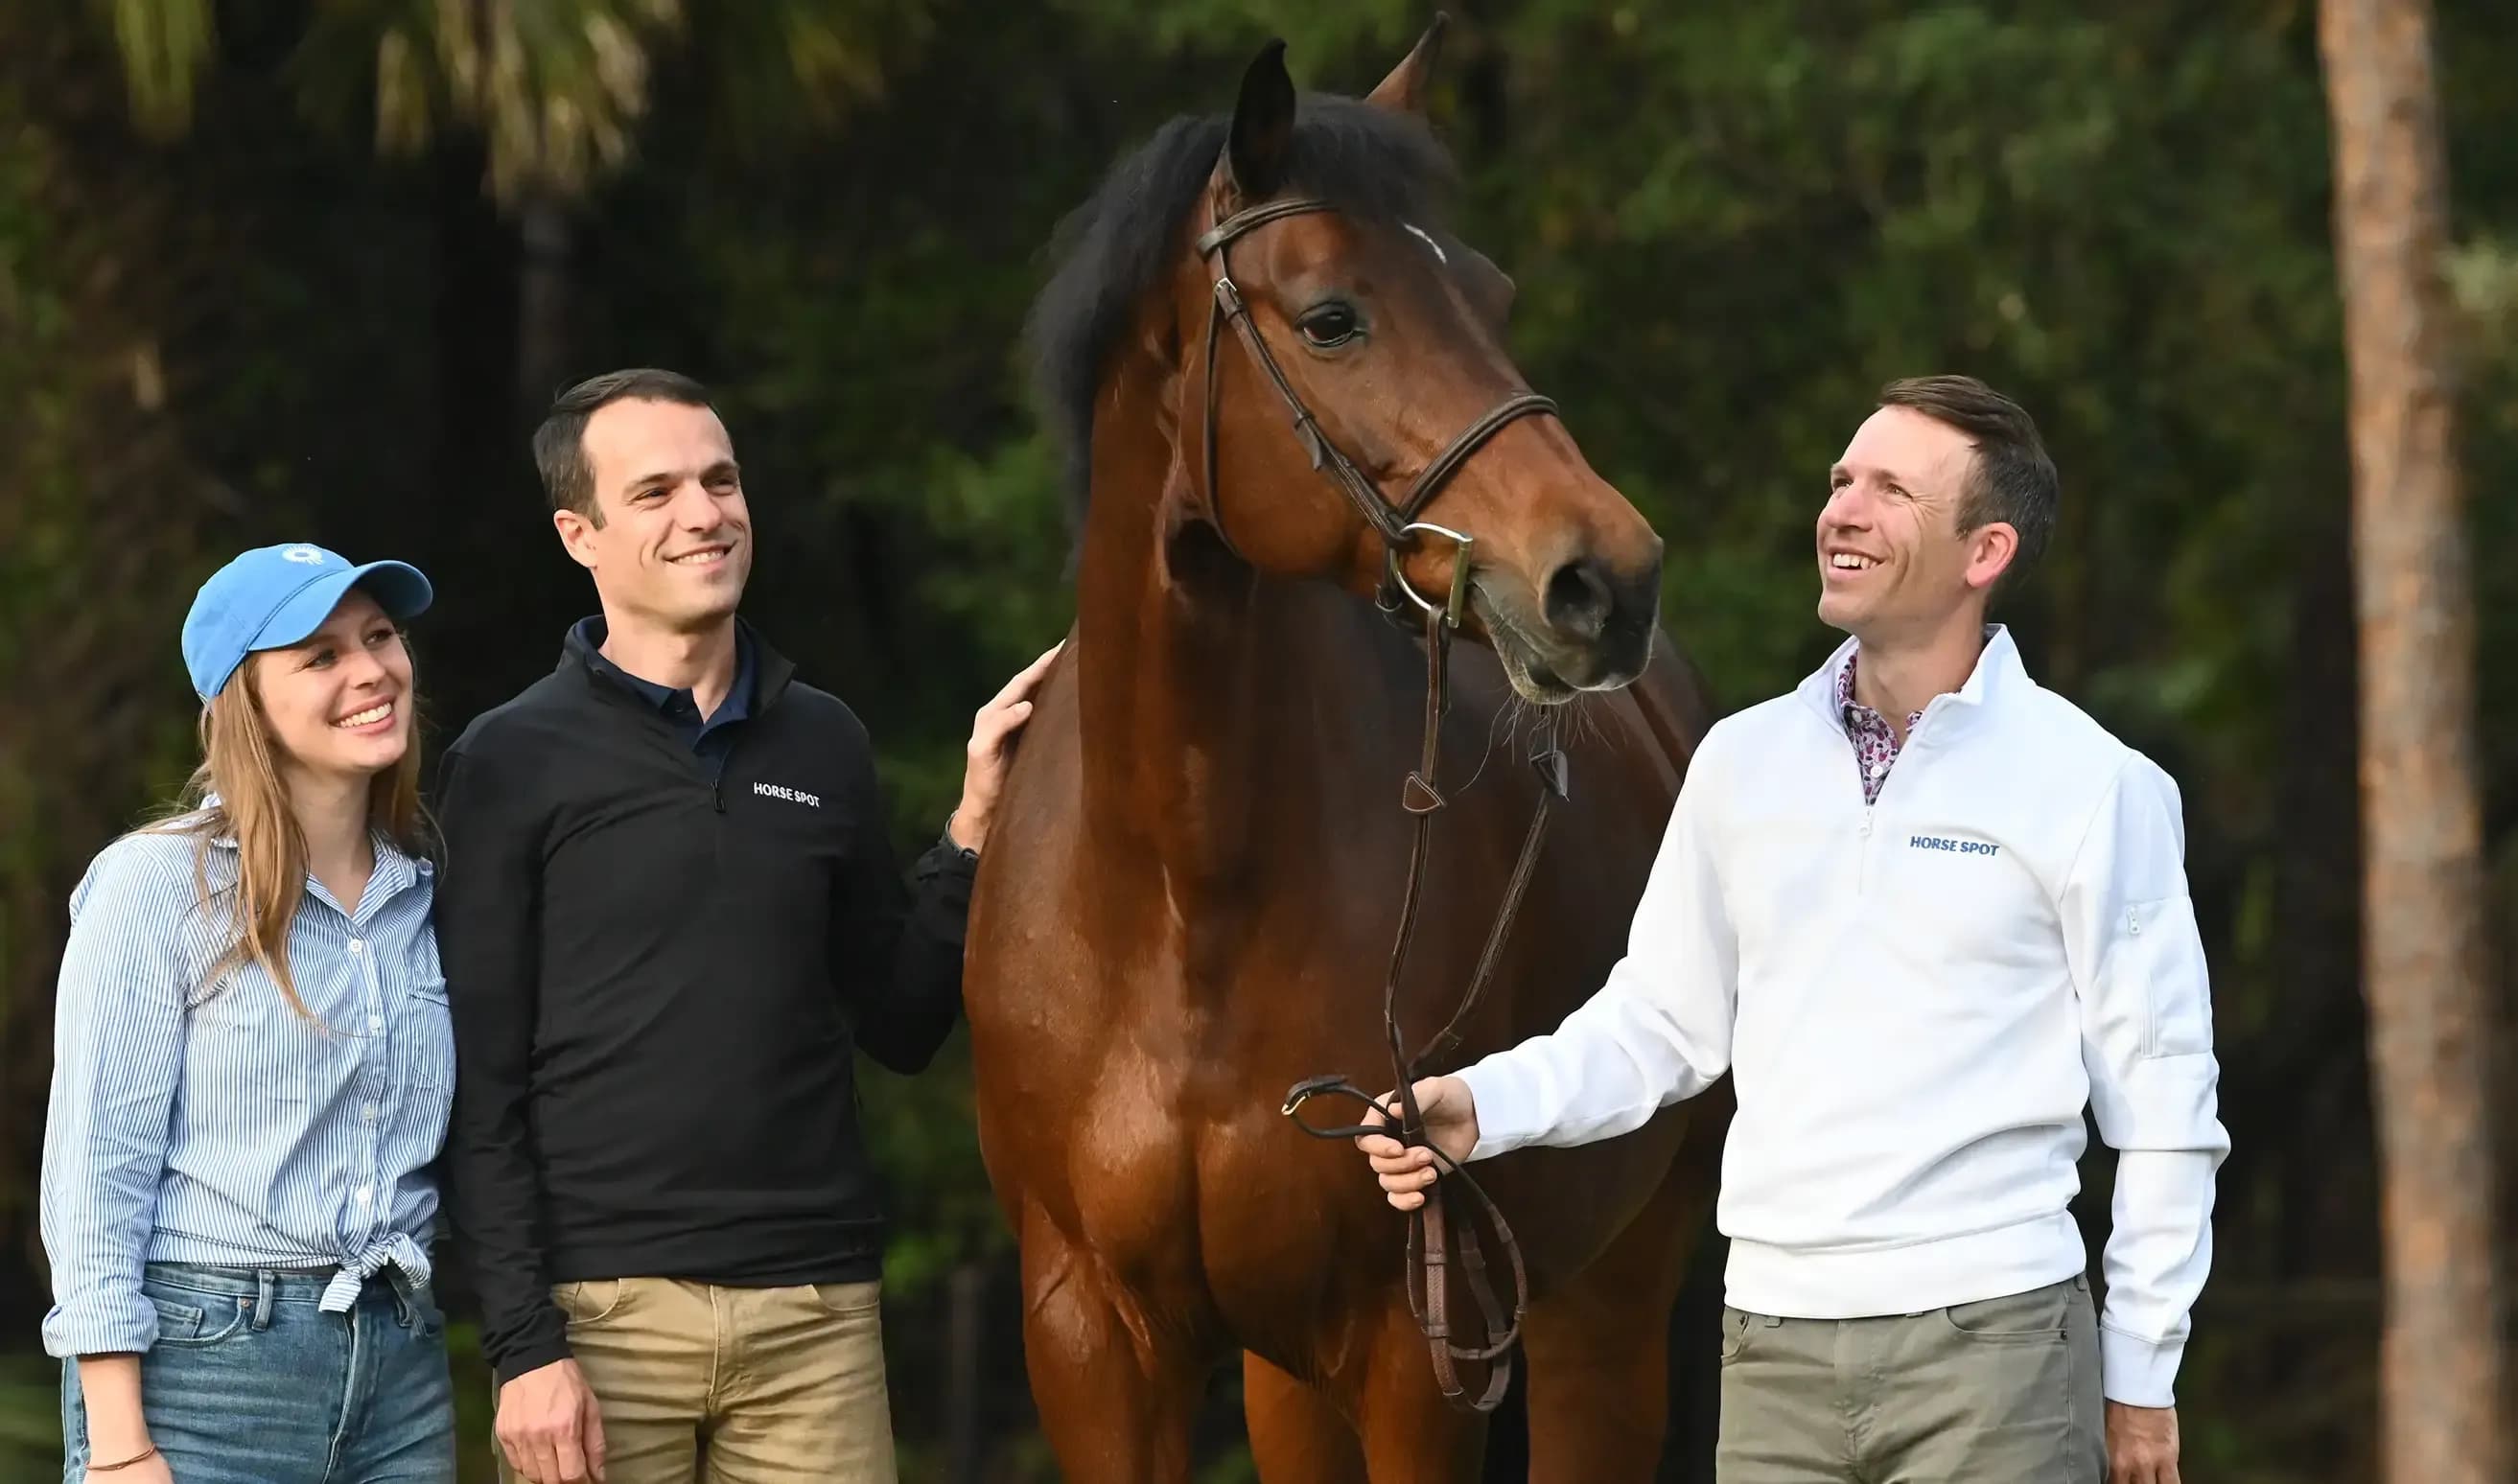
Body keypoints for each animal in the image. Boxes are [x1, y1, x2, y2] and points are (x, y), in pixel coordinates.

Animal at [962, 17, 1732, 1471]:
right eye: (1331, 318)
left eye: (1490, 297)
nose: (1605, 578)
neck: (1182, 897)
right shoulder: (1093, 1346)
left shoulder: (1409, 1344)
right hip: (1289, 1378)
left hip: (1599, 1311)